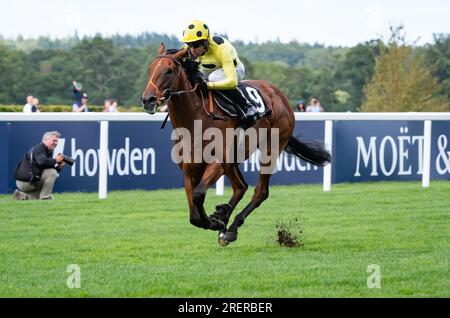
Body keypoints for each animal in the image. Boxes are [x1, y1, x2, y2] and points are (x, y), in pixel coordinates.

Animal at [141, 42, 330, 246]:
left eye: (168, 71)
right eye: (149, 69)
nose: (148, 99)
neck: (195, 119)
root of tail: (279, 95)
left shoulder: (217, 163)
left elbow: (199, 196)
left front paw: (216, 222)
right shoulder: (189, 168)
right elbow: (194, 214)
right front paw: (218, 217)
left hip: (271, 147)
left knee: (260, 192)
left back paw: (230, 229)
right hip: (234, 158)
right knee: (241, 187)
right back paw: (225, 216)